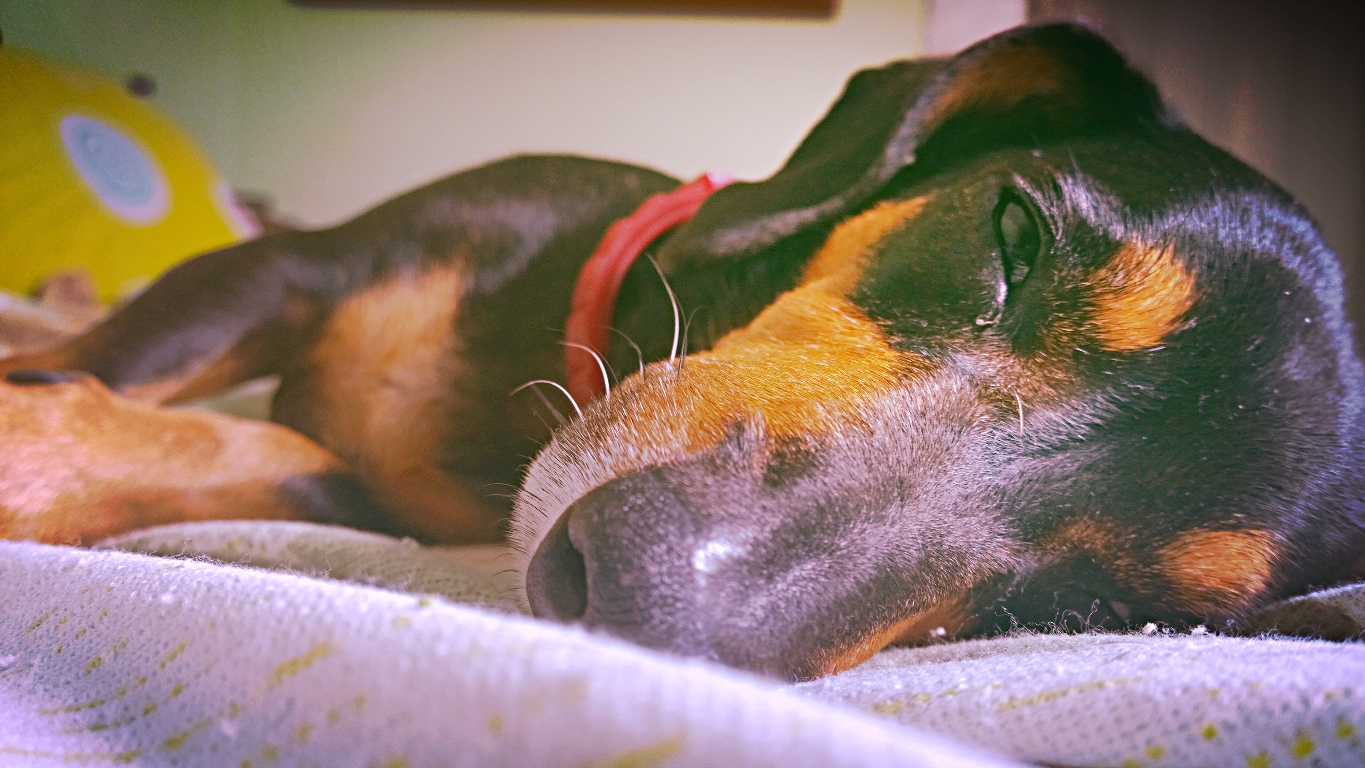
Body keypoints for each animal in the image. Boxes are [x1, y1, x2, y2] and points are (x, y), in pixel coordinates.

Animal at [2, 24, 1365, 682]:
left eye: (1103, 609)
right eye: (1014, 237)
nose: (628, 588)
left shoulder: (392, 499)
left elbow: (214, 448)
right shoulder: (284, 271)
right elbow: (132, 364)